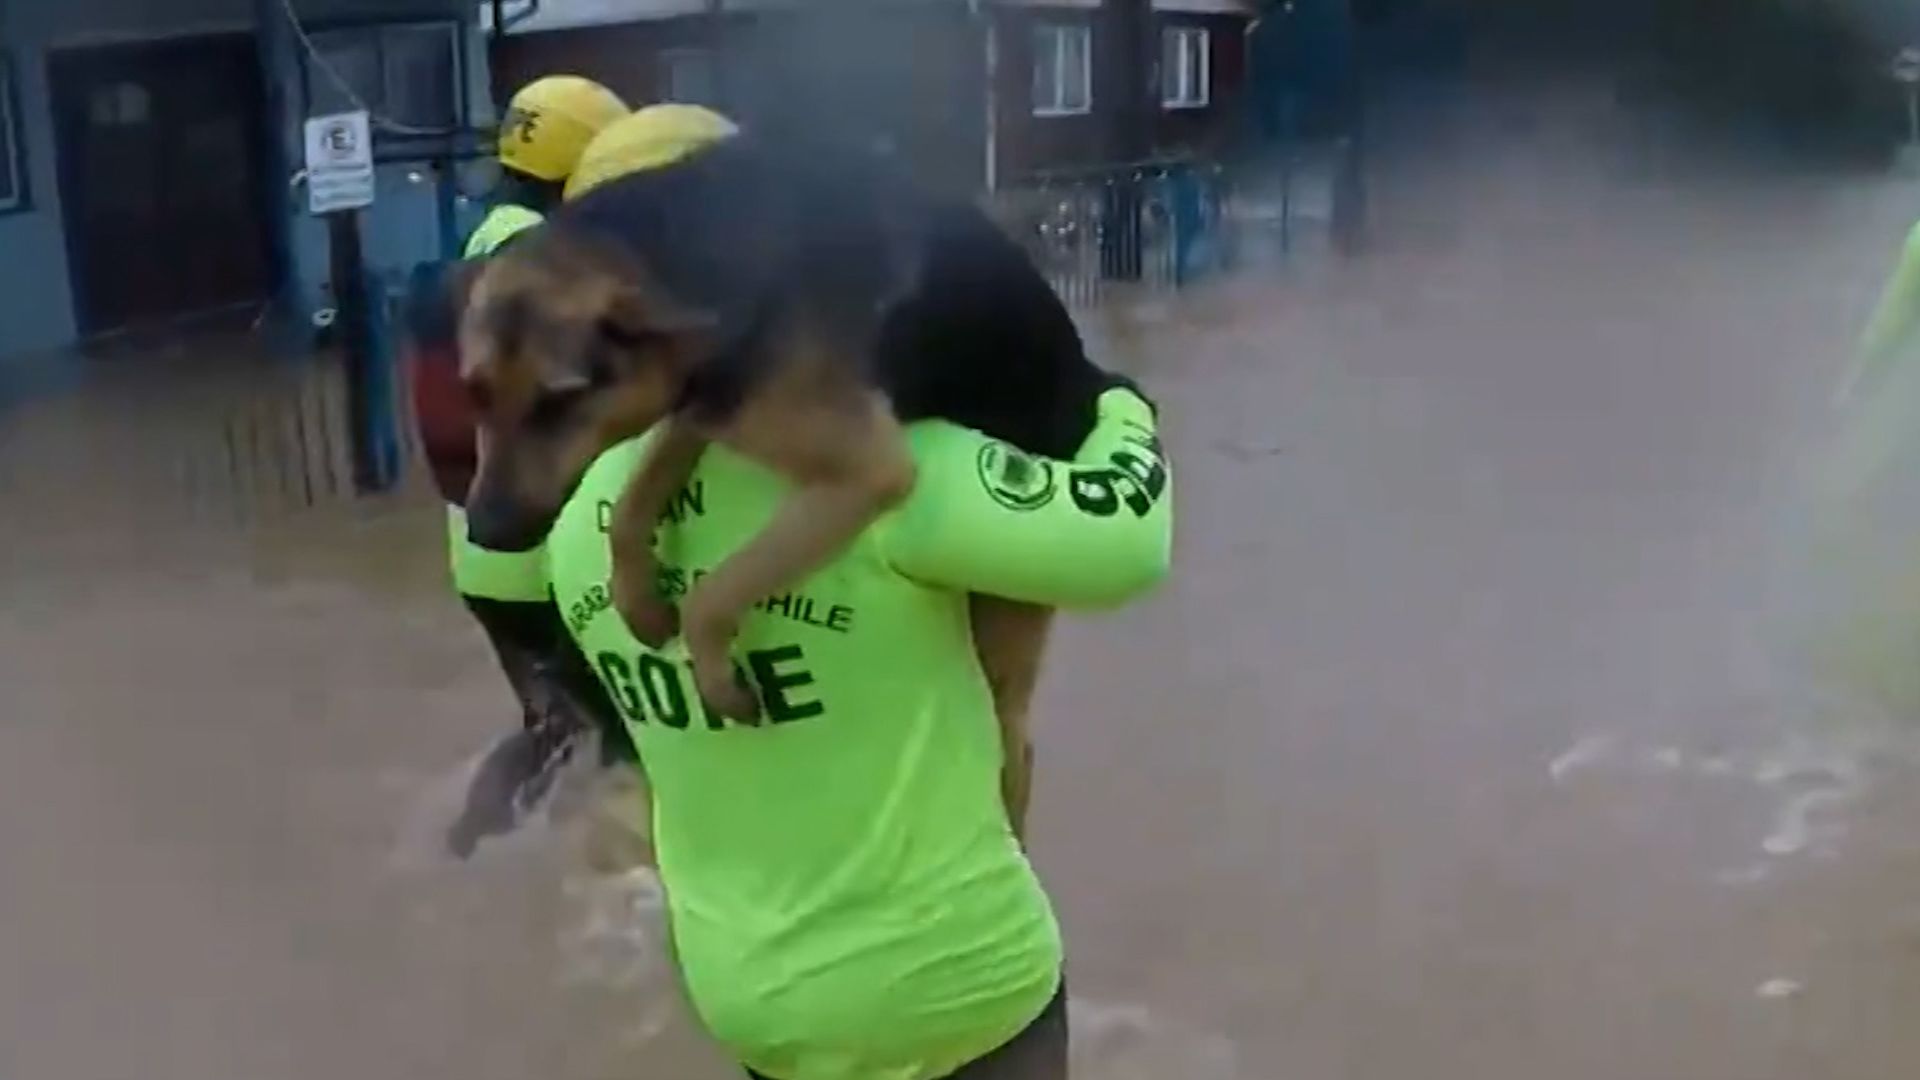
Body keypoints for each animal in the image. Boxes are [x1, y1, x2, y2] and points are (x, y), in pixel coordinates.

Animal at [458, 132, 1113, 730]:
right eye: (476, 393)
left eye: (559, 401)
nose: (482, 532)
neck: (679, 247)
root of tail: (1086, 377)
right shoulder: (709, 403)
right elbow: (630, 505)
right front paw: (636, 599)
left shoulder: (870, 469)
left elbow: (717, 590)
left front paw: (715, 675)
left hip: (1003, 638)